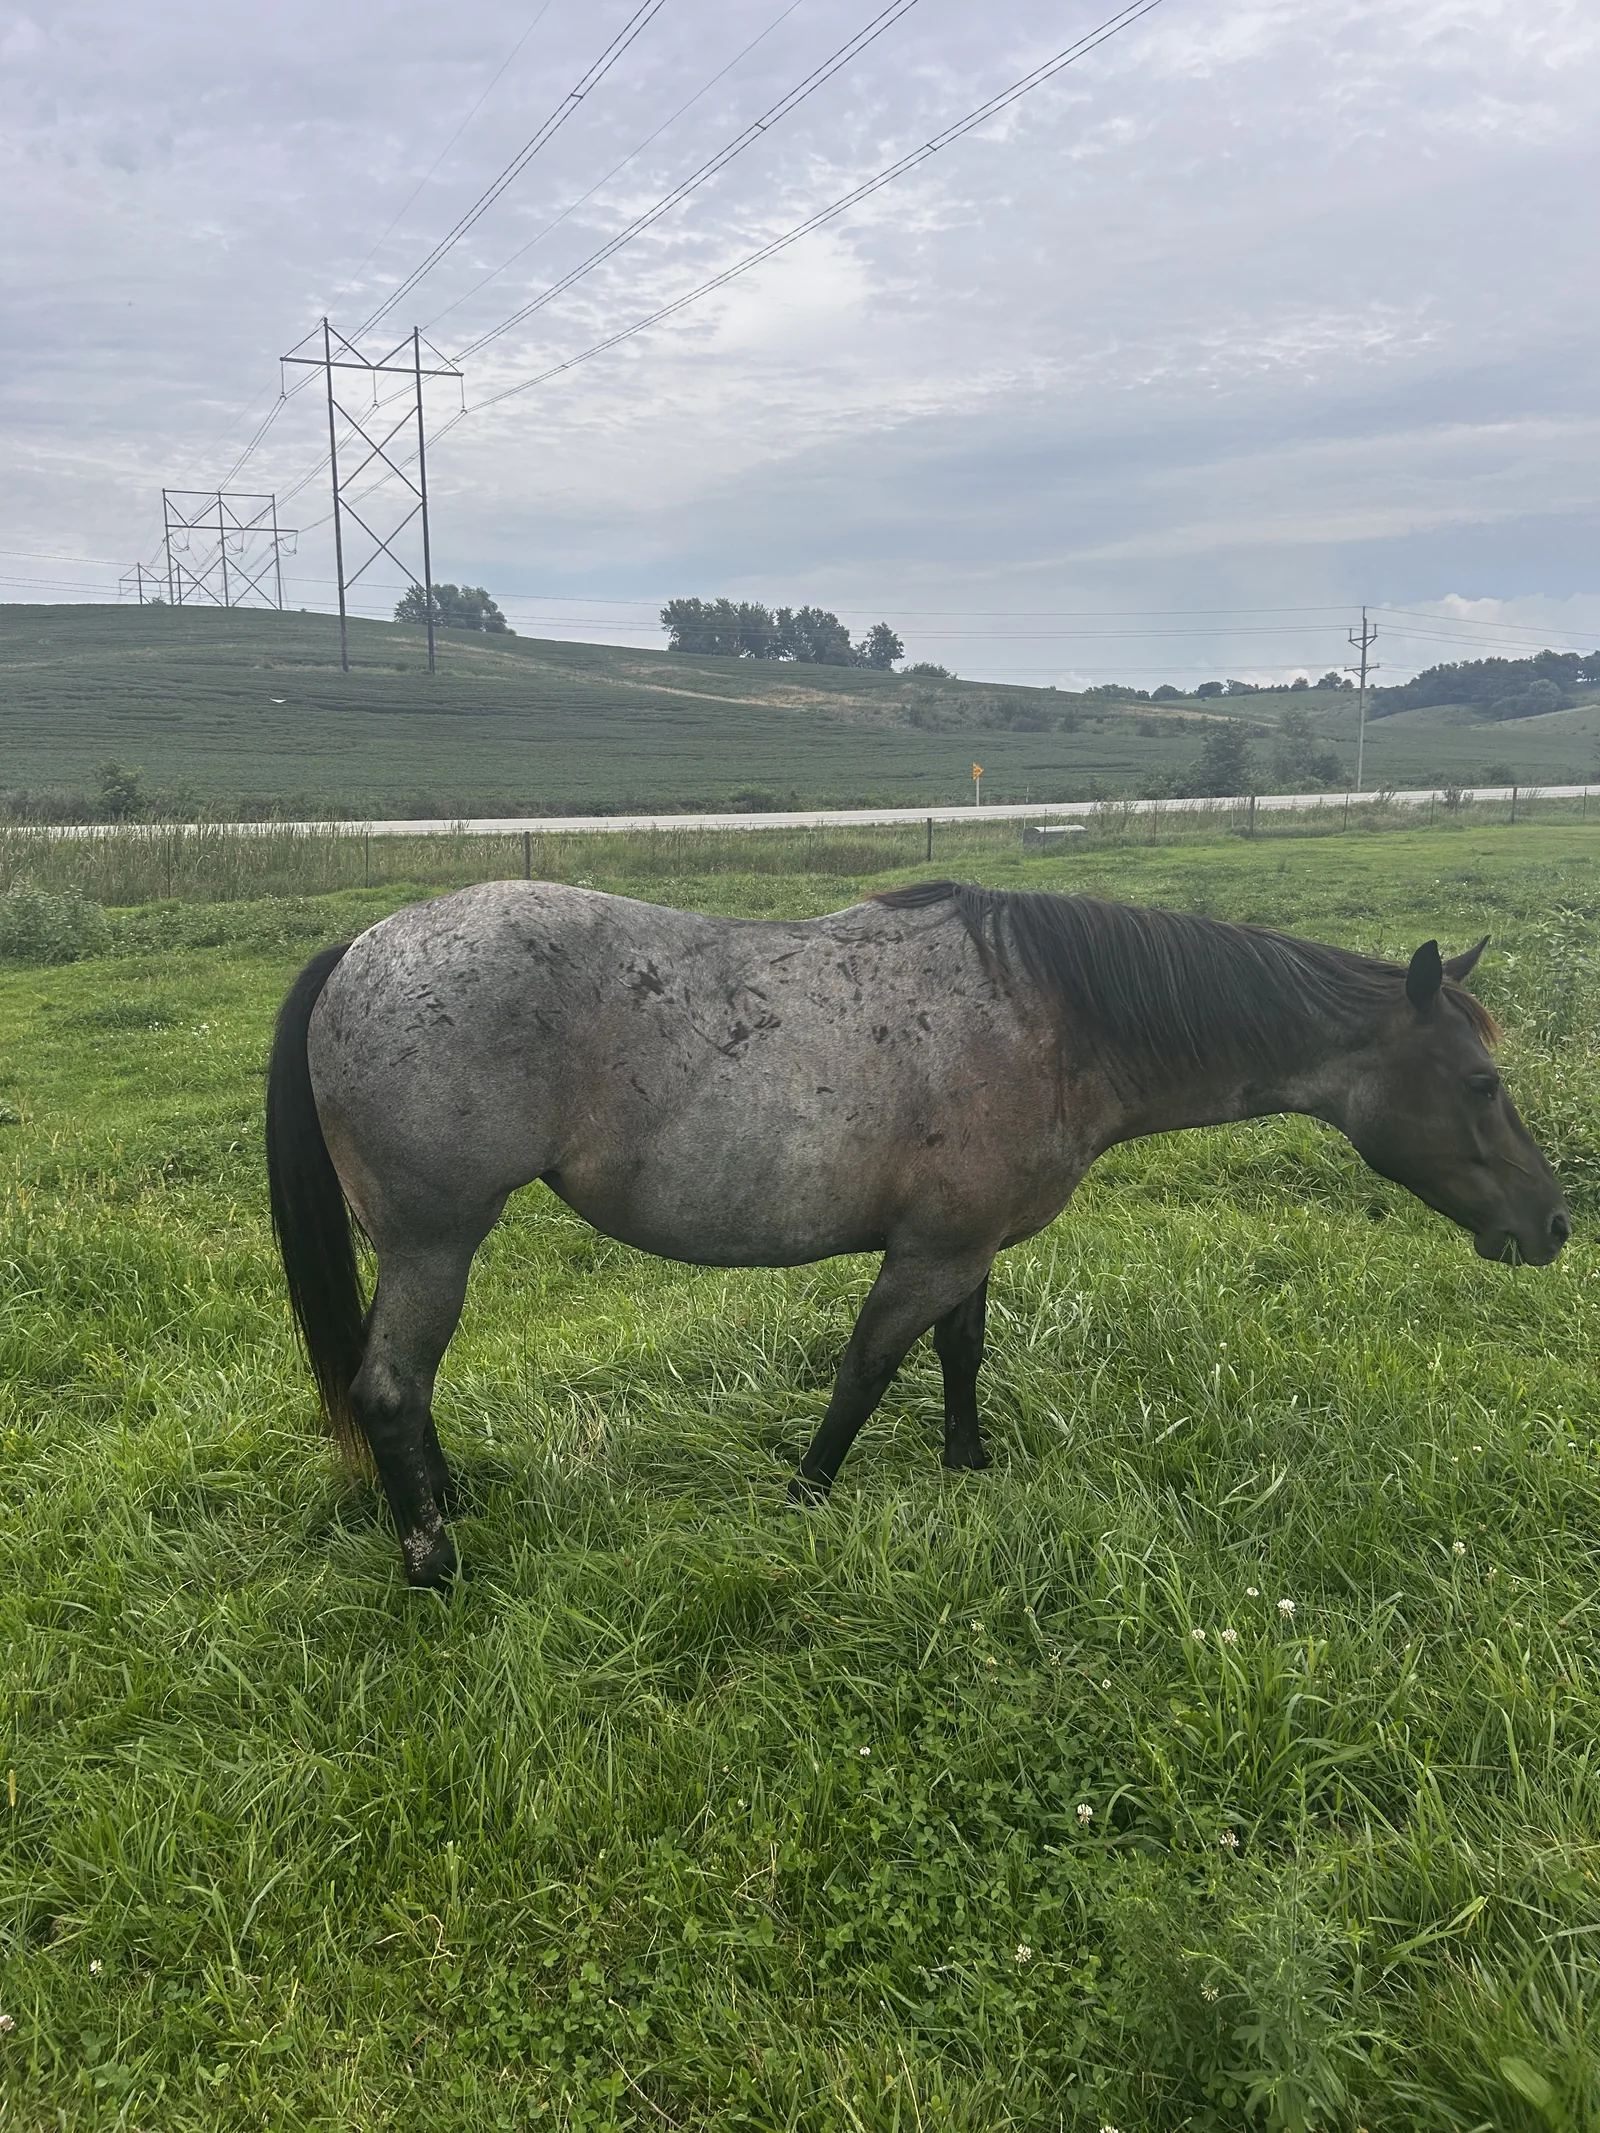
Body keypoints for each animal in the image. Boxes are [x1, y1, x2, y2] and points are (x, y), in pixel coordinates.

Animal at [265, 879, 1569, 1587]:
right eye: (1480, 1084)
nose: (1553, 1224)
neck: (1054, 1018)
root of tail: (361, 948)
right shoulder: (930, 1252)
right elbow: (864, 1372)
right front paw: (803, 1505)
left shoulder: (970, 1247)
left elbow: (959, 1354)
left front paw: (967, 1467)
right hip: (437, 1241)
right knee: (390, 1388)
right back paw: (434, 1562)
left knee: (404, 1386)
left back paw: (450, 1510)